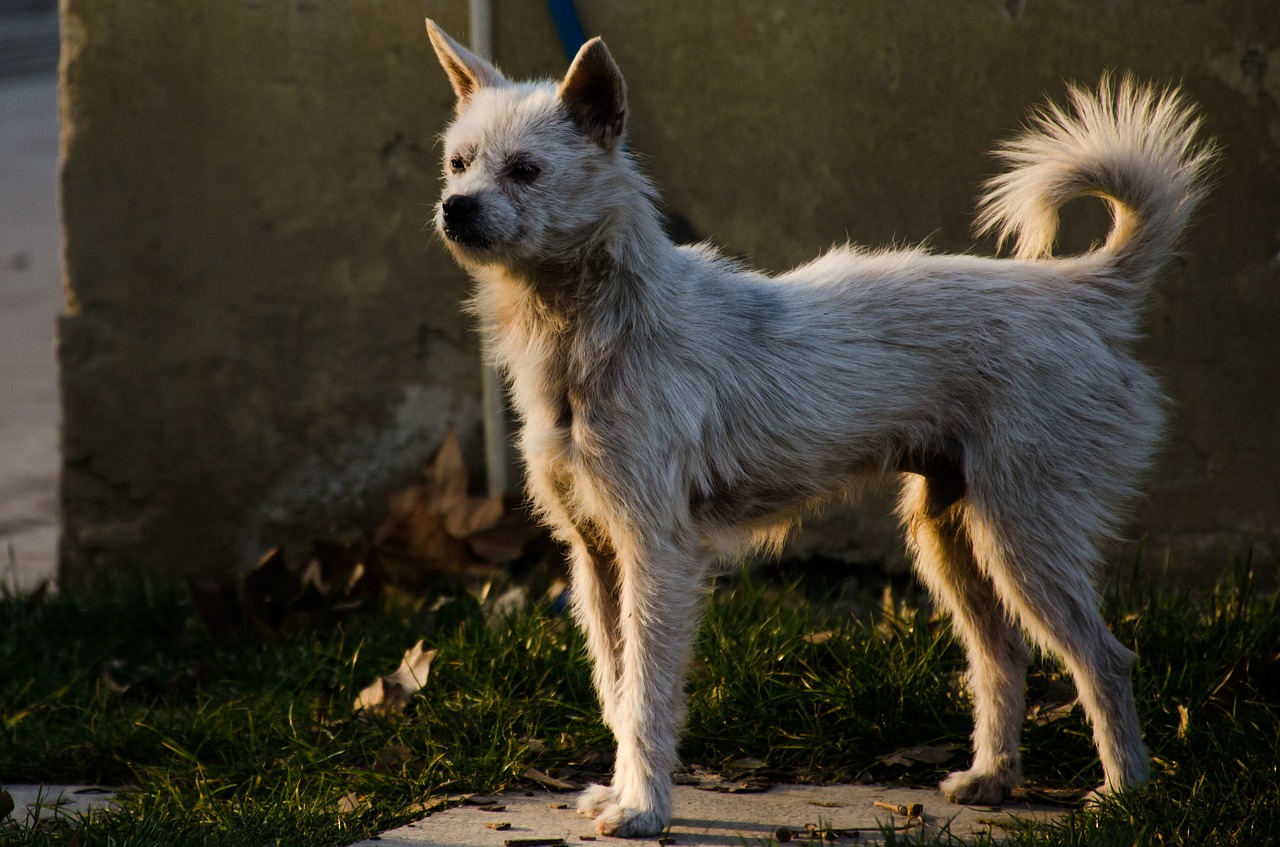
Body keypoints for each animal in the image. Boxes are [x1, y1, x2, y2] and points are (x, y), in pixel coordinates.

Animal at [427, 21, 1208, 844]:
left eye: (526, 171)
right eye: (457, 162)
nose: (455, 208)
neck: (592, 328)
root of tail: (1083, 292)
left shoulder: (655, 555)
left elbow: (646, 693)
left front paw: (642, 806)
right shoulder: (595, 556)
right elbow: (616, 687)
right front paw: (619, 791)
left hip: (1024, 533)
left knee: (1105, 659)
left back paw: (1125, 796)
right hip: (951, 536)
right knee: (1003, 655)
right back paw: (993, 777)